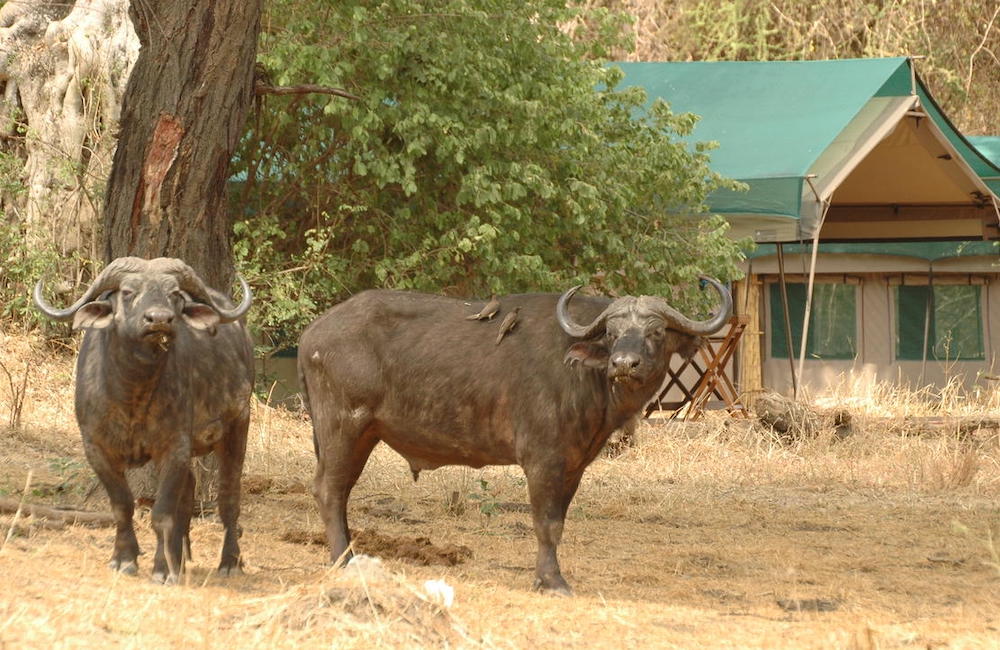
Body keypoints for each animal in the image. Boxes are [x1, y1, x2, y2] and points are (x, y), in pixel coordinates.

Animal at [34, 256, 254, 584]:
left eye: (174, 293)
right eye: (127, 292)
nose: (159, 320)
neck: (132, 393)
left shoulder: (174, 447)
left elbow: (162, 513)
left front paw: (162, 568)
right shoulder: (96, 448)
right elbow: (122, 505)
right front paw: (124, 559)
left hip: (237, 425)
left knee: (228, 498)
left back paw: (229, 561)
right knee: (189, 492)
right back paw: (182, 557)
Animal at [300, 274, 732, 592]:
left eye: (656, 332)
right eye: (611, 333)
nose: (624, 363)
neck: (586, 378)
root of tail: (312, 334)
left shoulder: (574, 465)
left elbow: (560, 521)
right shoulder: (543, 460)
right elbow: (546, 523)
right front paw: (552, 581)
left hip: (363, 434)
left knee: (341, 491)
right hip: (343, 424)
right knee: (329, 489)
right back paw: (343, 560)